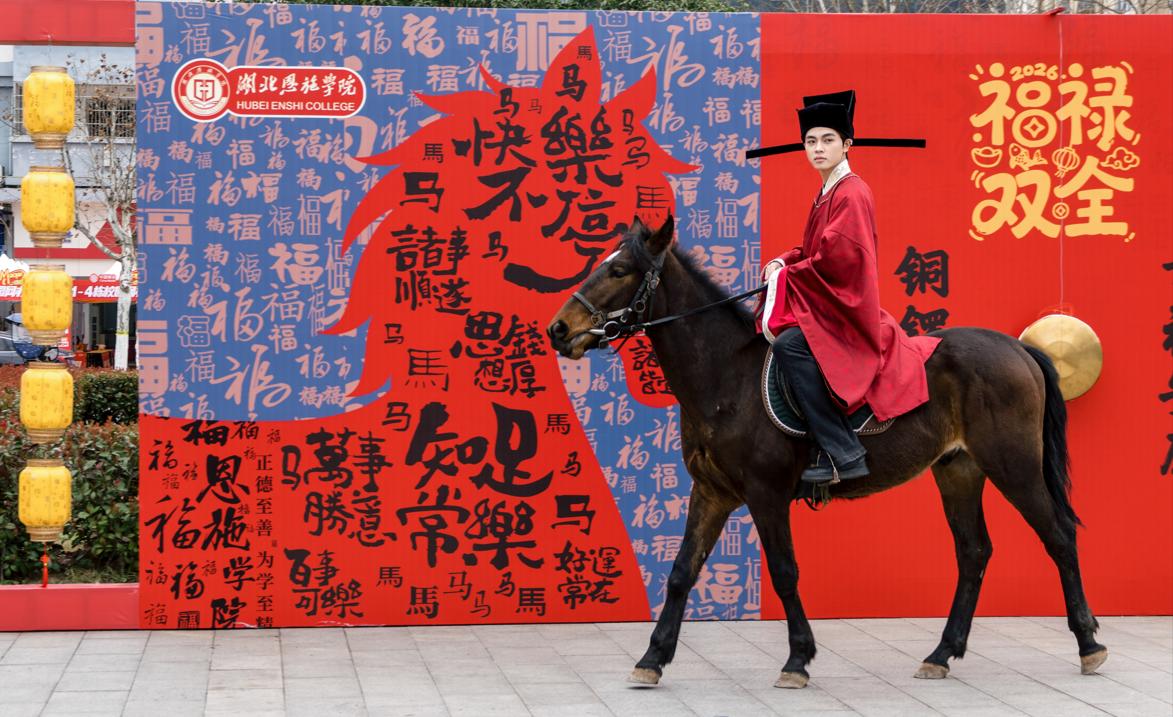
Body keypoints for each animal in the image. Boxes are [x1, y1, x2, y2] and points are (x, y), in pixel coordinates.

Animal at [546, 215, 1106, 689]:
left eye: (619, 269)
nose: (559, 329)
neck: (726, 378)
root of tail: (1019, 349)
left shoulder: (765, 493)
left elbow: (784, 571)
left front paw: (797, 658)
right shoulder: (711, 492)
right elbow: (683, 571)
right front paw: (652, 658)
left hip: (1014, 466)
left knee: (1059, 537)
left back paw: (1089, 644)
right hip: (958, 470)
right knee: (973, 553)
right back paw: (941, 653)